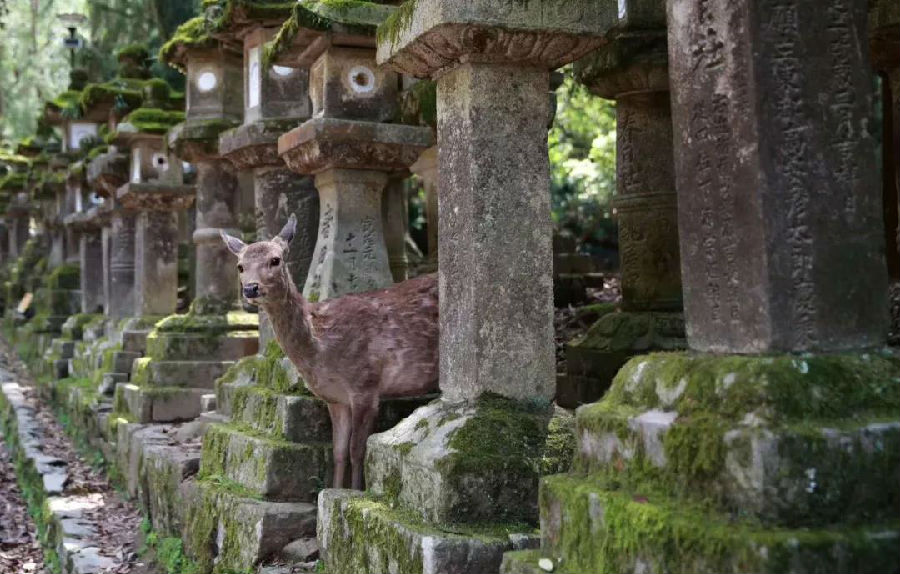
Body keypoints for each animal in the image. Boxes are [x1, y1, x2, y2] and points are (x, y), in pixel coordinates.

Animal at [221, 216, 440, 490]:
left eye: (275, 260)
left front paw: (354, 492)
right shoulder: (335, 399)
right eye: (240, 266)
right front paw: (334, 490)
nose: (251, 288)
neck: (322, 349)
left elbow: (358, 451)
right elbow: (338, 452)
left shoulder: (365, 386)